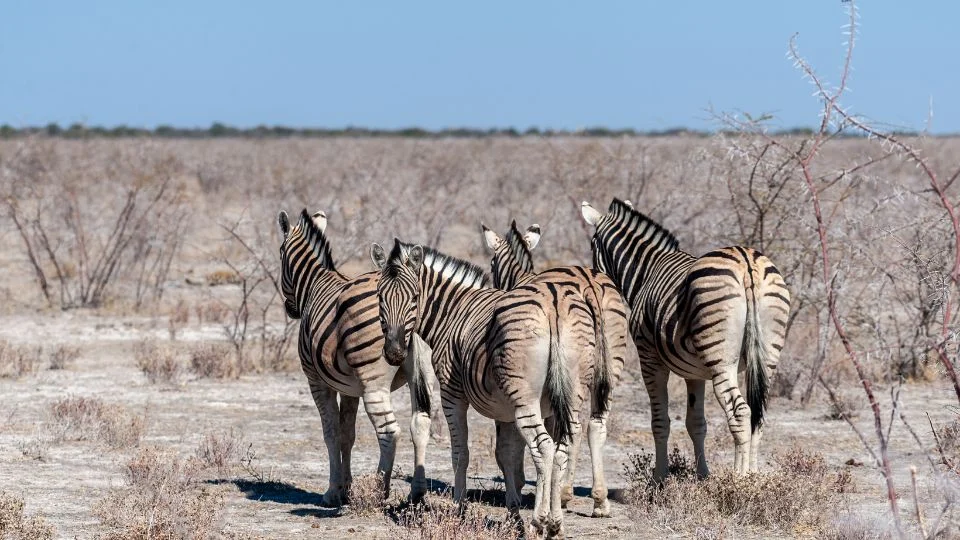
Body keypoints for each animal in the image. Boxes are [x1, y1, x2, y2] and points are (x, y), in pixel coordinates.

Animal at [277, 209, 435, 505]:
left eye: (280, 253)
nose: (290, 309)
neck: (314, 283)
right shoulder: (349, 388)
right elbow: (346, 435)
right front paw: (346, 489)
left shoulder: (317, 381)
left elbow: (330, 433)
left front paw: (333, 492)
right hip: (424, 375)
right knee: (420, 423)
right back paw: (416, 493)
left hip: (374, 382)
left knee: (389, 432)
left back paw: (379, 492)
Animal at [371, 239, 603, 538]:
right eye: (379, 298)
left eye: (414, 297)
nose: (395, 353)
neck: (453, 312)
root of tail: (555, 302)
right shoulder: (508, 410)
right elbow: (507, 456)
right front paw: (513, 515)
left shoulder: (452, 394)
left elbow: (461, 453)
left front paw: (459, 510)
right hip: (572, 396)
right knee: (563, 447)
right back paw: (556, 524)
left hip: (525, 399)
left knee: (543, 448)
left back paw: (539, 521)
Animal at [481, 220, 629, 517]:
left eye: (491, 263)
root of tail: (590, 283)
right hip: (608, 370)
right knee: (594, 426)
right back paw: (599, 501)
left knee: (575, 431)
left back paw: (565, 494)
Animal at [580, 198, 791, 480]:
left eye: (593, 245)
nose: (596, 278)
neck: (647, 271)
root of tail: (746, 262)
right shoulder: (695, 373)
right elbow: (696, 423)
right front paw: (703, 476)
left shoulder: (650, 358)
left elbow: (660, 421)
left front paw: (660, 479)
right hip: (768, 355)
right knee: (758, 414)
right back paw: (755, 477)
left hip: (721, 360)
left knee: (740, 413)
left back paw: (739, 479)